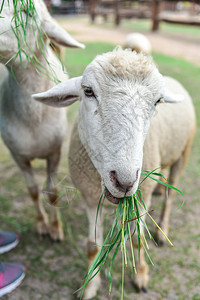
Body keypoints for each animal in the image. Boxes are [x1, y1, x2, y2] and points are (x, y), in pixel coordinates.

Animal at [0, 0, 84, 240]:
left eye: (26, 12)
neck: (33, 121)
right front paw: (41, 224)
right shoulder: (17, 154)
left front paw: (56, 228)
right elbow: (33, 190)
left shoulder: (55, 151)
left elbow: (53, 192)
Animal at [32, 48, 195, 296]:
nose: (124, 181)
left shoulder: (142, 196)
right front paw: (89, 286)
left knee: (170, 196)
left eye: (157, 101)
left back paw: (162, 229)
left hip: (183, 152)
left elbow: (138, 239)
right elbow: (93, 245)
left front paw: (140, 275)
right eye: (88, 91)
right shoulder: (89, 196)